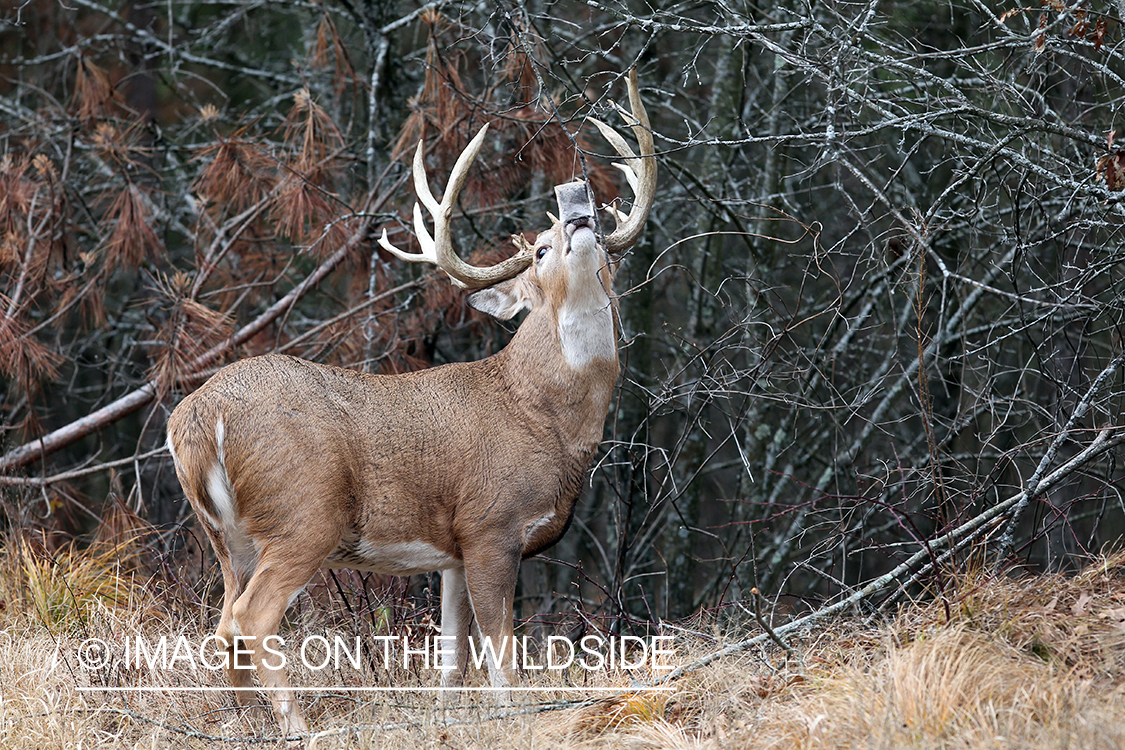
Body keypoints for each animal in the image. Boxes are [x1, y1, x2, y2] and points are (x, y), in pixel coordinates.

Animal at [164, 68, 657, 733]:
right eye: (539, 250)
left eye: (601, 233)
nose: (577, 210)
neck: (543, 415)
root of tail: (196, 416)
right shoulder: (490, 524)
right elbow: (501, 656)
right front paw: (517, 717)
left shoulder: (450, 553)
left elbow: (451, 661)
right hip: (303, 513)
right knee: (252, 616)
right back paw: (297, 726)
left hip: (225, 536)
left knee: (222, 623)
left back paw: (246, 724)